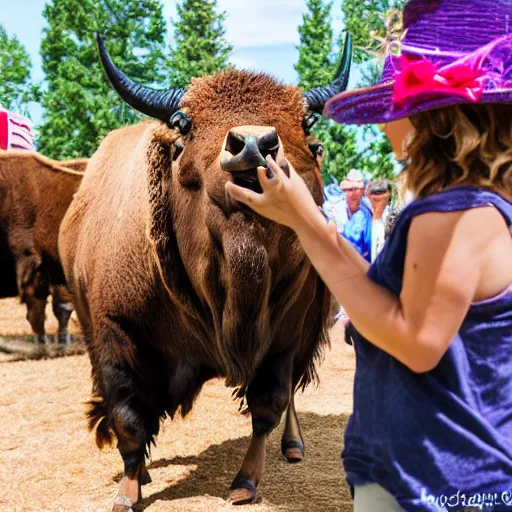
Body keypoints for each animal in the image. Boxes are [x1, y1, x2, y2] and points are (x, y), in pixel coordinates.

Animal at [58, 34, 350, 510]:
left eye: (306, 121)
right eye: (183, 122)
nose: (253, 145)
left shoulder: (287, 334)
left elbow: (269, 404)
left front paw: (245, 482)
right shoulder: (114, 334)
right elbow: (128, 418)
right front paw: (128, 491)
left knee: (291, 395)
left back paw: (293, 446)